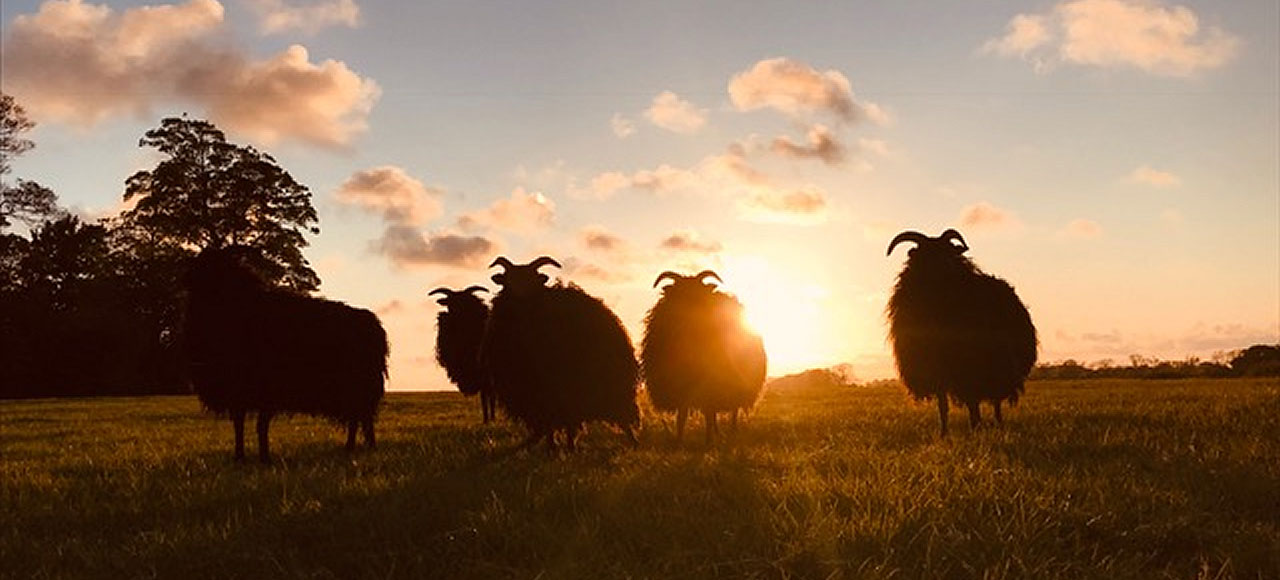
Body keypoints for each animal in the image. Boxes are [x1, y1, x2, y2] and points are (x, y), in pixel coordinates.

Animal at [183, 246, 388, 462]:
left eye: (215, 264)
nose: (186, 278)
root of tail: (374, 324)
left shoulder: (267, 389)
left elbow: (261, 426)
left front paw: (265, 458)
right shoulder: (238, 393)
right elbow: (239, 426)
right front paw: (240, 457)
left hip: (359, 388)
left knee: (361, 418)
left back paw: (365, 447)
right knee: (357, 418)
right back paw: (351, 448)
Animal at [429, 285, 496, 423]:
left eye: (464, 302)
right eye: (450, 303)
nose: (456, 313)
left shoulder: (484, 372)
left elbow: (485, 396)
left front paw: (488, 420)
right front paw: (486, 419)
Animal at [480, 256, 640, 450]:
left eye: (532, 278)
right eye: (508, 279)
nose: (520, 292)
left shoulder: (561, 386)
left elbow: (567, 421)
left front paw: (567, 447)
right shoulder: (535, 392)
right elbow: (549, 422)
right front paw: (552, 446)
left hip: (611, 388)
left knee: (621, 418)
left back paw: (633, 442)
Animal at [640, 270, 767, 444]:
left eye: (699, 291)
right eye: (679, 292)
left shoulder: (711, 384)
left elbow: (708, 414)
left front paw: (708, 441)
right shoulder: (680, 388)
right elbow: (682, 417)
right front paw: (679, 441)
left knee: (733, 410)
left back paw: (731, 431)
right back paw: (718, 433)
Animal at [886, 229, 1037, 436]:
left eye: (949, 249)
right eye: (926, 252)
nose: (946, 264)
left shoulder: (969, 366)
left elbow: (973, 403)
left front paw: (975, 430)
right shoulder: (936, 370)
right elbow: (943, 406)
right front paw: (944, 434)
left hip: (998, 367)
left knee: (995, 401)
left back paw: (997, 425)